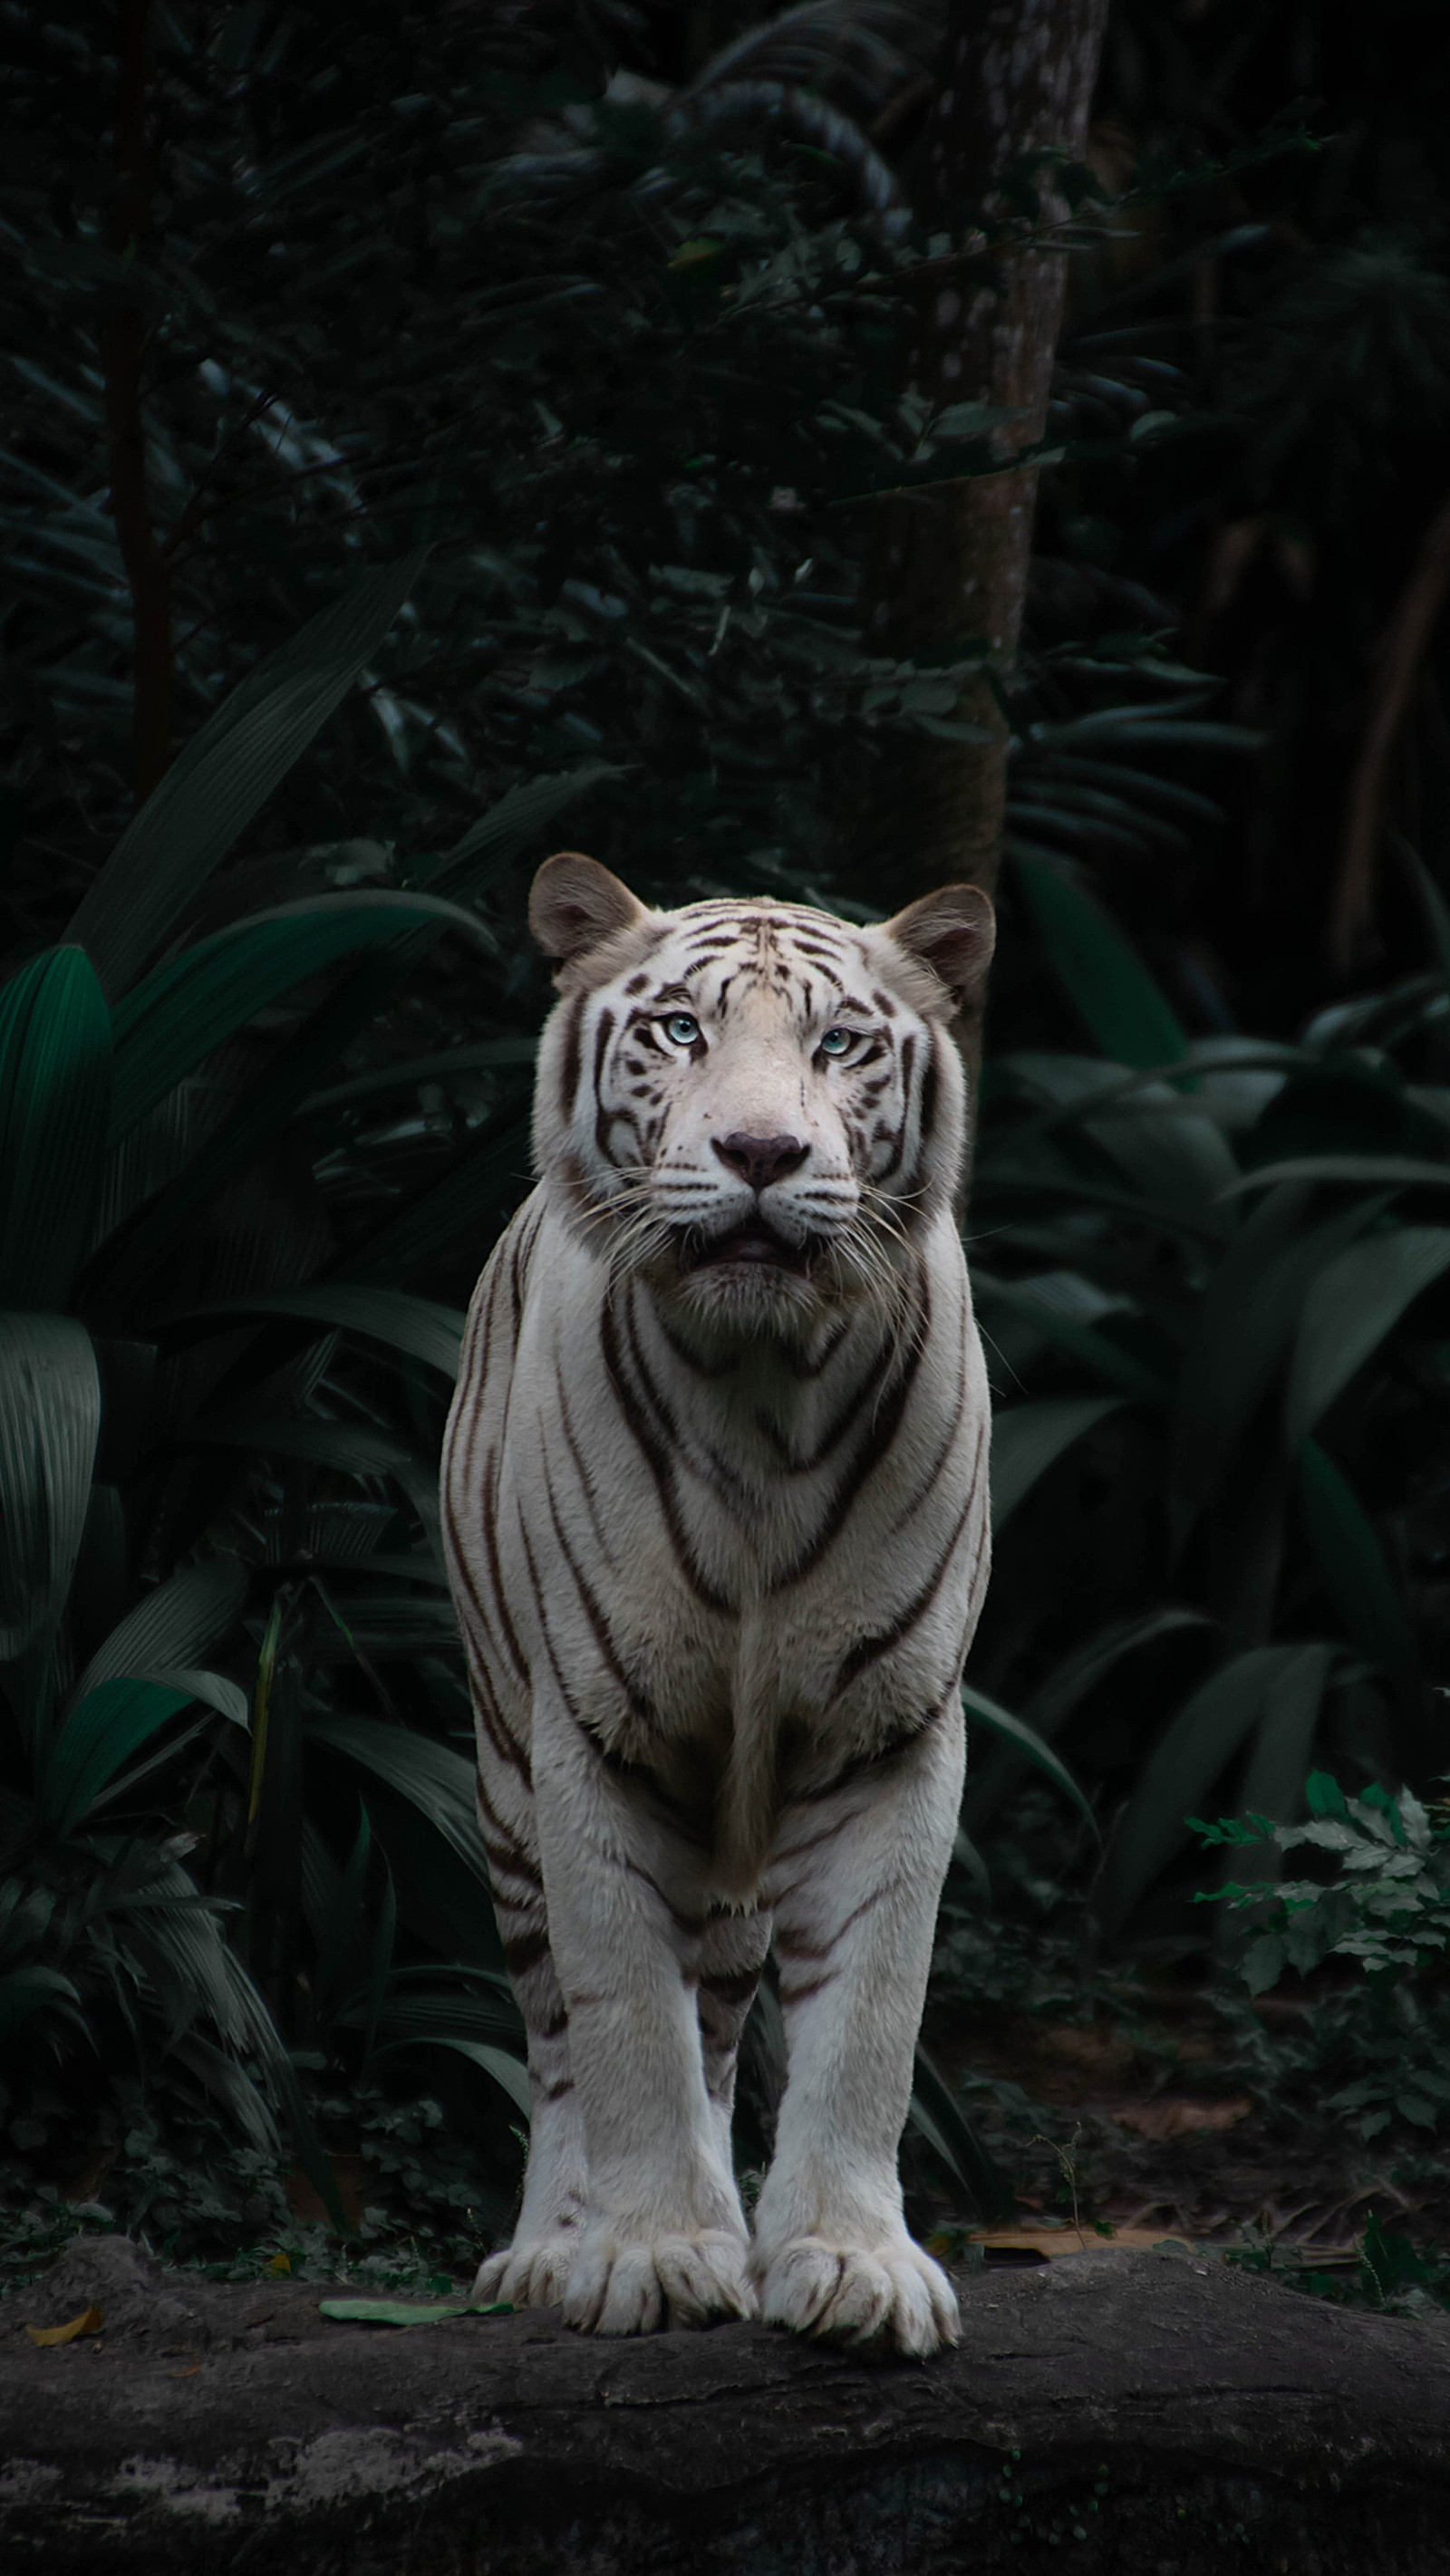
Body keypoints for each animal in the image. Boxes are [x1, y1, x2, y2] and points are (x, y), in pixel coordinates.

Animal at [440, 851, 994, 2356]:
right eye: (681, 1029)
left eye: (841, 1042)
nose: (759, 1154)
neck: (761, 1387)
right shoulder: (593, 1734)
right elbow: (625, 2018)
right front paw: (649, 2252)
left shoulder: (887, 1733)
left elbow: (868, 2019)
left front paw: (851, 2262)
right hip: (503, 1780)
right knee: (557, 2035)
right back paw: (550, 2248)